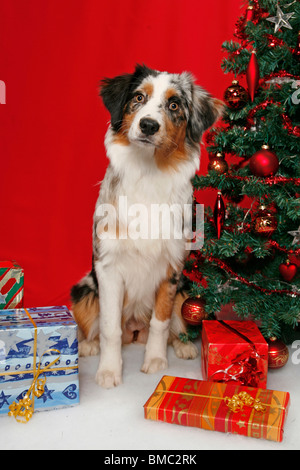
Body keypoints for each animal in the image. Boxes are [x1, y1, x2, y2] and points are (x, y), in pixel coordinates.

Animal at [71, 66, 223, 390]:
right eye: (139, 97)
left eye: (174, 105)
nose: (149, 125)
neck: (149, 172)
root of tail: (134, 331)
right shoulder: (107, 266)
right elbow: (110, 328)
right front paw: (109, 371)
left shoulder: (172, 267)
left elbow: (161, 321)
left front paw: (156, 361)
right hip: (83, 289)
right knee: (94, 326)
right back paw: (89, 345)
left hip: (187, 292)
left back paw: (184, 345)